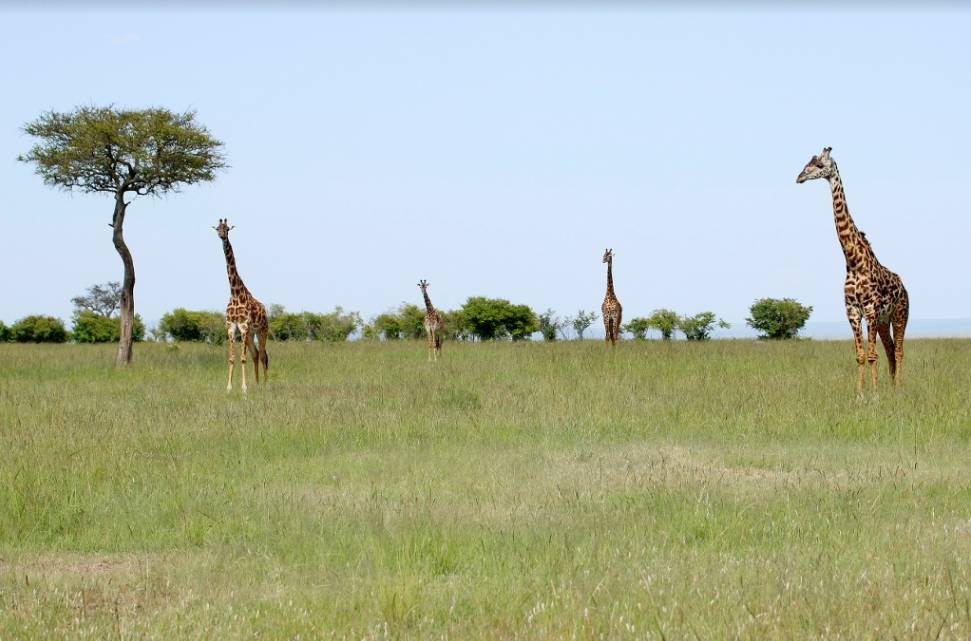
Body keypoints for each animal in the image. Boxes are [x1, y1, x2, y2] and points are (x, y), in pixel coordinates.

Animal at [214, 219, 270, 390]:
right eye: (217, 228)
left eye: (227, 229)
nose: (222, 235)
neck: (235, 294)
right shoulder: (231, 326)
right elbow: (233, 357)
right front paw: (229, 388)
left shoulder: (244, 326)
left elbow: (243, 357)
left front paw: (244, 388)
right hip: (251, 334)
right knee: (256, 354)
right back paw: (257, 385)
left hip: (262, 330)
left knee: (263, 354)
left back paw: (267, 385)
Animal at [796, 148, 912, 392]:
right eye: (807, 163)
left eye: (820, 165)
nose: (799, 177)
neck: (853, 261)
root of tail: (904, 287)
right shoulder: (852, 311)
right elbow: (860, 355)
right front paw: (861, 394)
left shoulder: (870, 309)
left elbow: (872, 355)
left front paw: (875, 394)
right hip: (884, 320)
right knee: (890, 350)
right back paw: (891, 386)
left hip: (900, 313)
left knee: (898, 350)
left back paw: (897, 389)